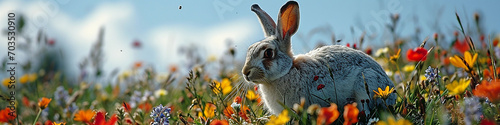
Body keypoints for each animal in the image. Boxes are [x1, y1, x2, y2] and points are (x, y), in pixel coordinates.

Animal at [240, 0, 396, 115]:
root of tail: (392, 94)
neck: (288, 70)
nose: (246, 72)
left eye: (268, 53)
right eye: (249, 50)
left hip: (366, 83)